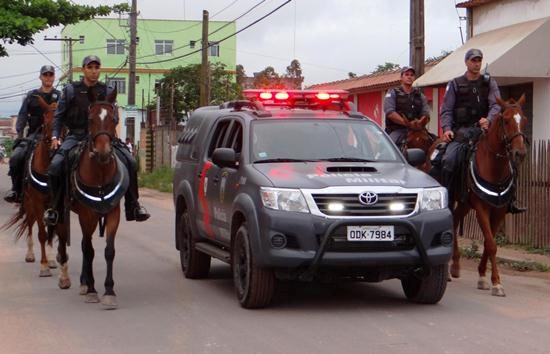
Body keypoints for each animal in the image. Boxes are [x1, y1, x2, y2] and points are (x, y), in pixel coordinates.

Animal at [2, 96, 57, 276]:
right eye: (46, 121)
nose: (54, 146)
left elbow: (52, 232)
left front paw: (52, 260)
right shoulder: (37, 202)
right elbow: (42, 233)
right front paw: (44, 266)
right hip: (28, 202)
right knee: (30, 223)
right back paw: (30, 254)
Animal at [55, 87, 130, 308]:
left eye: (114, 119)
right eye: (90, 118)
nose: (103, 152)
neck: (100, 174)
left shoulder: (113, 213)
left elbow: (108, 251)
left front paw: (109, 291)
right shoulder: (86, 214)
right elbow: (89, 250)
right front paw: (91, 290)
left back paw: (83, 281)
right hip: (63, 212)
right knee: (71, 241)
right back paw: (72, 280)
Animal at [452, 94, 532, 296]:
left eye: (524, 120)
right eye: (506, 120)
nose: (520, 153)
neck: (494, 168)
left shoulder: (499, 210)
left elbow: (490, 244)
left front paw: (484, 277)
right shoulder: (482, 208)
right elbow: (491, 244)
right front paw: (496, 283)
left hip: (464, 204)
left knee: (454, 221)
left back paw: (455, 265)